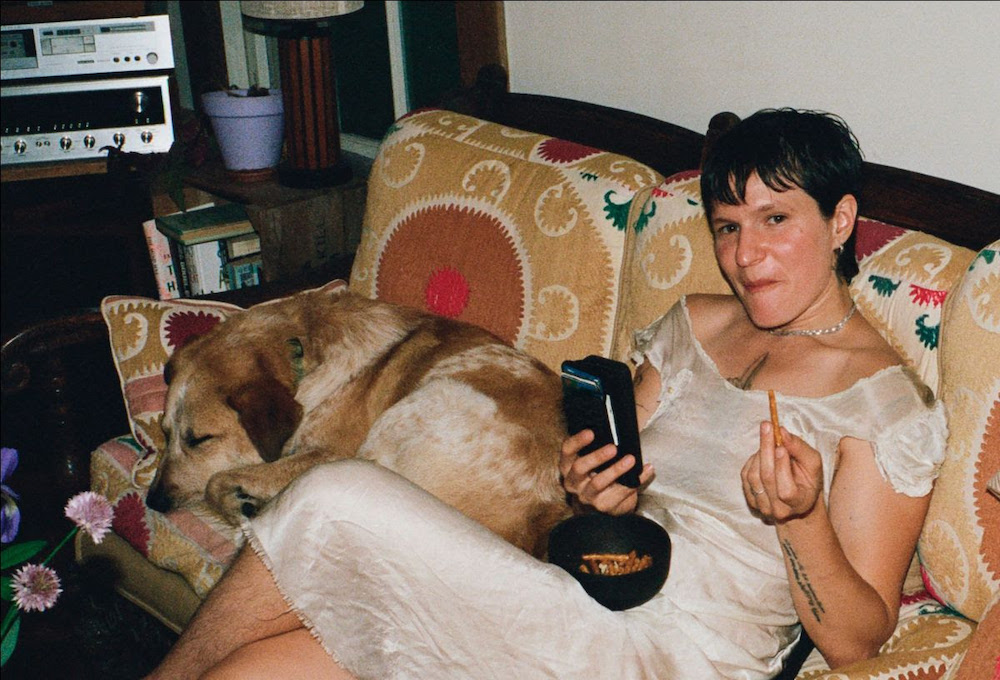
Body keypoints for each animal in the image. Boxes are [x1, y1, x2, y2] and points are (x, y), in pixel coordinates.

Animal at [146, 285, 572, 557]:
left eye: (200, 439)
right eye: (165, 433)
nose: (152, 501)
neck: (301, 351)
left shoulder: (328, 453)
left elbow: (216, 481)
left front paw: (241, 505)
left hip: (417, 409)